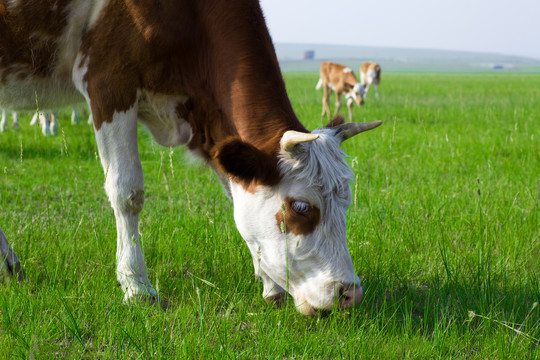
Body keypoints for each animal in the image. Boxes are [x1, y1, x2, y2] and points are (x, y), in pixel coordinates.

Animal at [0, 0, 382, 316]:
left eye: (347, 202)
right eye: (301, 207)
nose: (350, 293)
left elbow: (235, 193)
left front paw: (269, 284)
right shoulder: (109, 83)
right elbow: (127, 192)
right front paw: (136, 285)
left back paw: (9, 265)